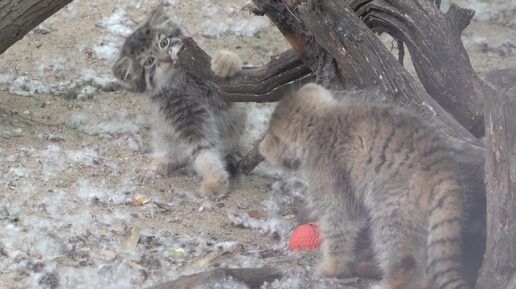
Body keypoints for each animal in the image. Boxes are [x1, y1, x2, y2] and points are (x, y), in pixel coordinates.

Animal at [112, 7, 245, 198]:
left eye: (164, 43)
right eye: (150, 62)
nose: (167, 58)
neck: (182, 82)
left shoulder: (225, 95)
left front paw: (225, 62)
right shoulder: (188, 122)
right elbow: (203, 152)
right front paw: (215, 180)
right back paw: (164, 161)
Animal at [260, 82, 470, 288]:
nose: (261, 148)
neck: (323, 120)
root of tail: (442, 166)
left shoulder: (330, 177)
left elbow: (338, 226)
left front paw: (332, 267)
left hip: (394, 209)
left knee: (404, 259)